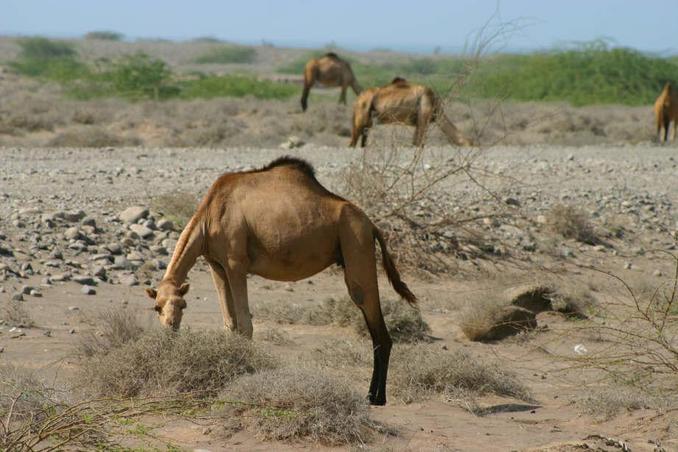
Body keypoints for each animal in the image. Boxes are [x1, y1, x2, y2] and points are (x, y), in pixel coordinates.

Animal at [146, 156, 418, 406]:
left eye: (183, 305)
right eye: (157, 307)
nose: (170, 327)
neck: (207, 218)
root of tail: (372, 225)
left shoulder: (236, 263)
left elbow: (245, 325)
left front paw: (244, 373)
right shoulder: (216, 266)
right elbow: (230, 324)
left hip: (356, 244)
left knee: (376, 324)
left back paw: (376, 397)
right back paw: (373, 395)